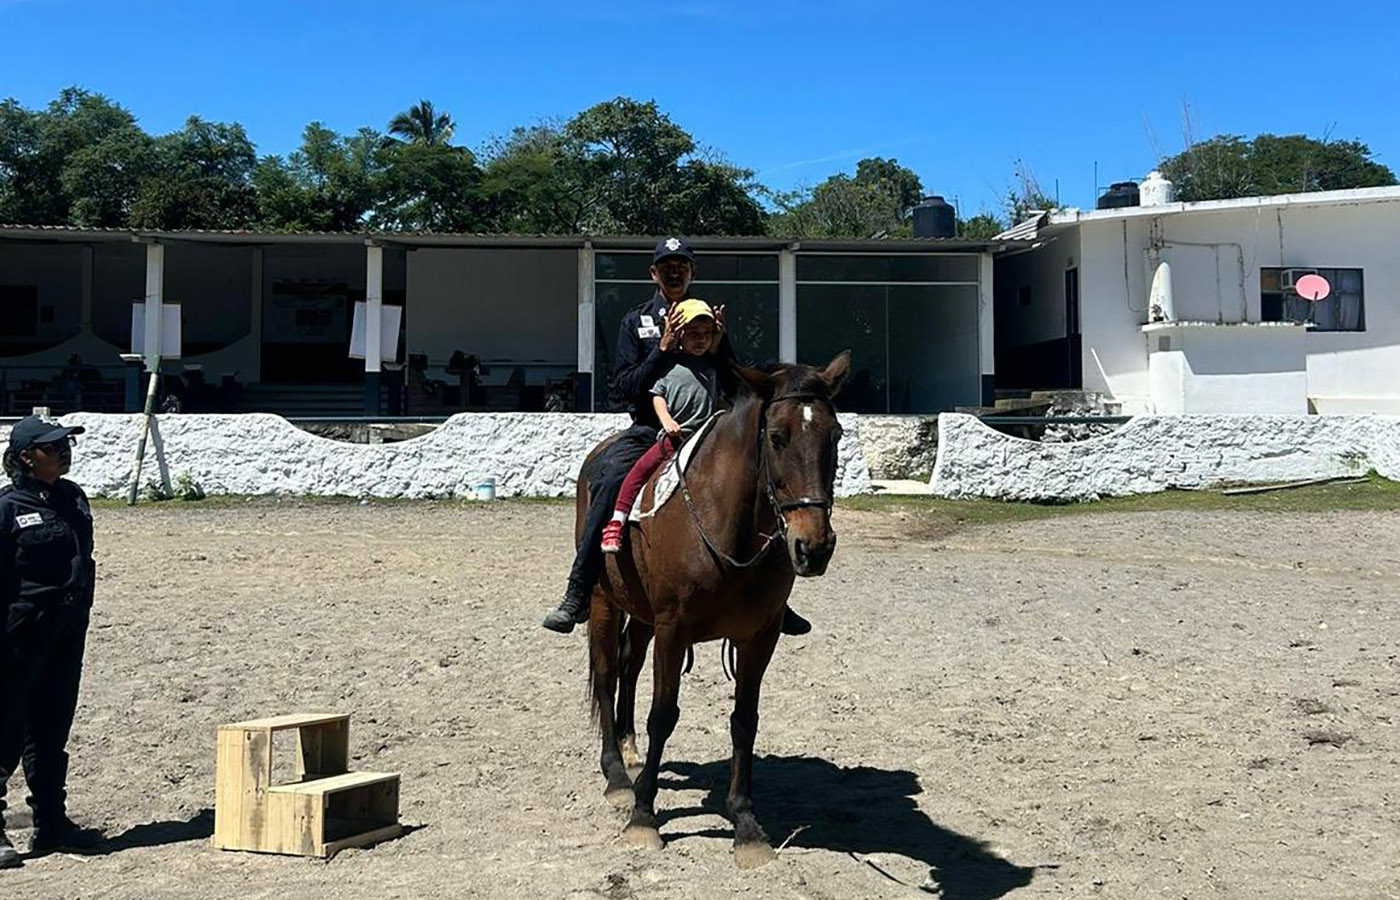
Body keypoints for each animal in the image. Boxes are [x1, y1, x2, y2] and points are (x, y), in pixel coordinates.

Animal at [576, 354, 845, 873]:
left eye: (836, 435)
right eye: (776, 436)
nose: (814, 547)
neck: (727, 526)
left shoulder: (759, 635)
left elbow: (745, 719)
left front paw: (745, 823)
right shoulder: (673, 628)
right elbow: (663, 715)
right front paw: (644, 817)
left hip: (641, 614)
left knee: (628, 665)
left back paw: (629, 747)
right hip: (604, 600)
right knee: (606, 673)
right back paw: (617, 775)